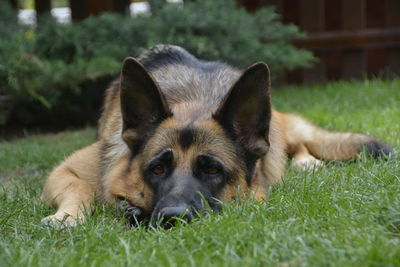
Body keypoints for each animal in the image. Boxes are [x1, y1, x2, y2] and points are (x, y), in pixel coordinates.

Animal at [41, 45, 394, 229]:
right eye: (157, 168)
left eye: (212, 169)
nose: (173, 219)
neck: (195, 101)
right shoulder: (64, 171)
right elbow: (80, 188)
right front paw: (66, 216)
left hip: (280, 135)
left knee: (299, 144)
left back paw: (307, 163)